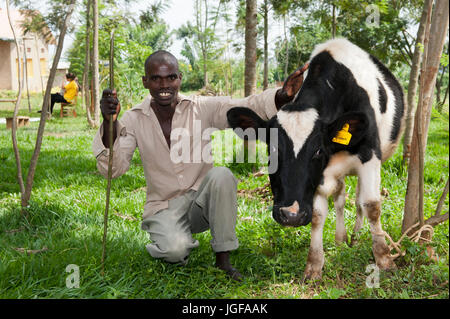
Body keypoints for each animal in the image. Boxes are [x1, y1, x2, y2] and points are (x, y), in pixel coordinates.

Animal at [229, 38, 404, 282]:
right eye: (272, 149)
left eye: (318, 151)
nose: (291, 215)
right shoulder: (318, 178)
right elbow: (318, 215)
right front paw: (314, 266)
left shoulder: (370, 156)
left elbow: (372, 206)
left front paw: (384, 259)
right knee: (340, 198)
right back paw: (341, 239)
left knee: (359, 200)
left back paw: (357, 235)